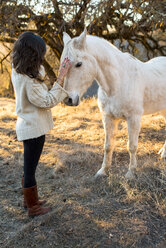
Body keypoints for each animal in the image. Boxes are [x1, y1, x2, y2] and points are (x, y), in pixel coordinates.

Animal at [60, 29, 166, 179]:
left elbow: (132, 146)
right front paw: (103, 171)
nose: (68, 100)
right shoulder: (108, 117)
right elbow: (108, 146)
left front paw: (131, 173)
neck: (118, 82)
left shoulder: (133, 119)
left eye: (79, 64)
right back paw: (163, 152)